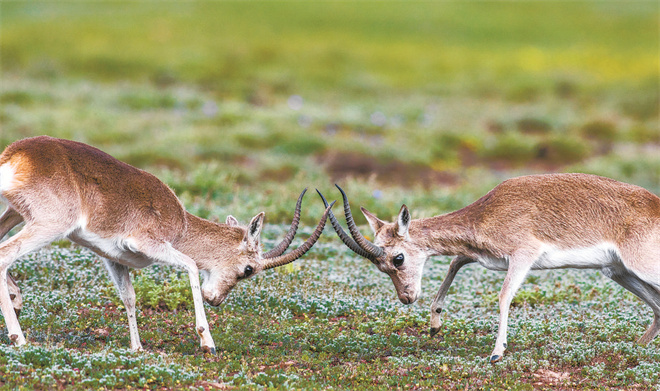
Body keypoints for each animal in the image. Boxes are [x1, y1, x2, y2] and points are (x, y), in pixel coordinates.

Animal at [0, 136, 336, 354]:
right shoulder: (146, 243)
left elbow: (129, 297)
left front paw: (137, 348)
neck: (182, 223)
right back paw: (19, 337)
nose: (216, 299)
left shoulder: (113, 257)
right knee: (5, 254)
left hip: (15, 213)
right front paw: (207, 342)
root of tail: (16, 153)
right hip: (49, 225)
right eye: (249, 269)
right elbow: (191, 265)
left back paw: (16, 301)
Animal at [318, 175, 656, 364]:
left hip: (639, 269)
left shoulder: (523, 256)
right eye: (379, 266)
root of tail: (656, 205)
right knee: (658, 307)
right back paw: (638, 348)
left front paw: (497, 353)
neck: (487, 211)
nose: (406, 297)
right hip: (618, 272)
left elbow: (504, 297)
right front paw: (435, 325)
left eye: (397, 259)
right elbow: (454, 262)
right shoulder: (482, 257)